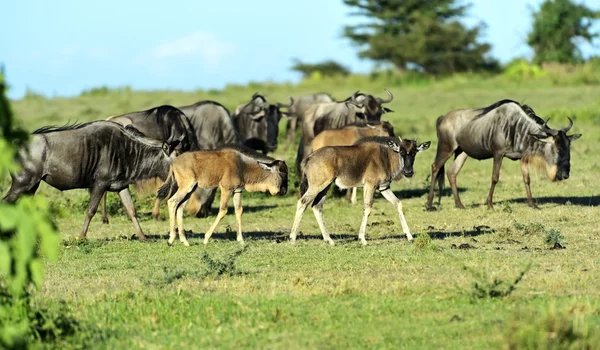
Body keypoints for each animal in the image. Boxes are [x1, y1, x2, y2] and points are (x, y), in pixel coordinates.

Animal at [157, 145, 288, 246]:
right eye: (281, 173)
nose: (284, 191)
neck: (242, 166)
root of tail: (173, 163)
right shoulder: (226, 189)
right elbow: (223, 210)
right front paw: (206, 238)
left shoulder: (237, 191)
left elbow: (239, 211)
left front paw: (241, 240)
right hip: (186, 187)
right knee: (172, 201)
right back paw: (171, 239)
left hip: (190, 190)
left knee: (180, 207)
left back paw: (184, 241)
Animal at [290, 135, 432, 245]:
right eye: (401, 152)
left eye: (414, 152)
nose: (408, 172)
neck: (386, 157)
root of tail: (309, 158)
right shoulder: (370, 185)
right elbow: (368, 208)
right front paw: (362, 239)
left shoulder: (384, 188)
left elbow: (398, 204)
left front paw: (409, 236)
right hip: (317, 186)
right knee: (302, 202)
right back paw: (292, 238)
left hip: (325, 187)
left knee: (317, 206)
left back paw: (329, 240)